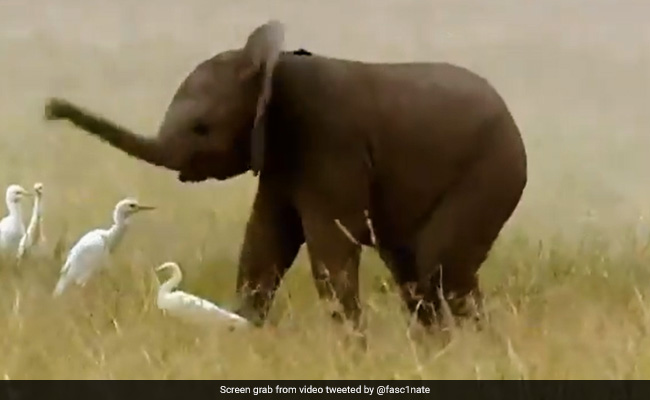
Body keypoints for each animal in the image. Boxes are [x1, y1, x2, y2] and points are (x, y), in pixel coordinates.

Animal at [43, 20, 527, 335]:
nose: (48, 109)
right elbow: (264, 240)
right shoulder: (281, 155)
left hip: (492, 172)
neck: (269, 66)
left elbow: (330, 246)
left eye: (201, 128)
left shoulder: (329, 139)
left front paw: (349, 350)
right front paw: (244, 333)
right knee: (414, 271)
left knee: (441, 270)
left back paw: (472, 346)